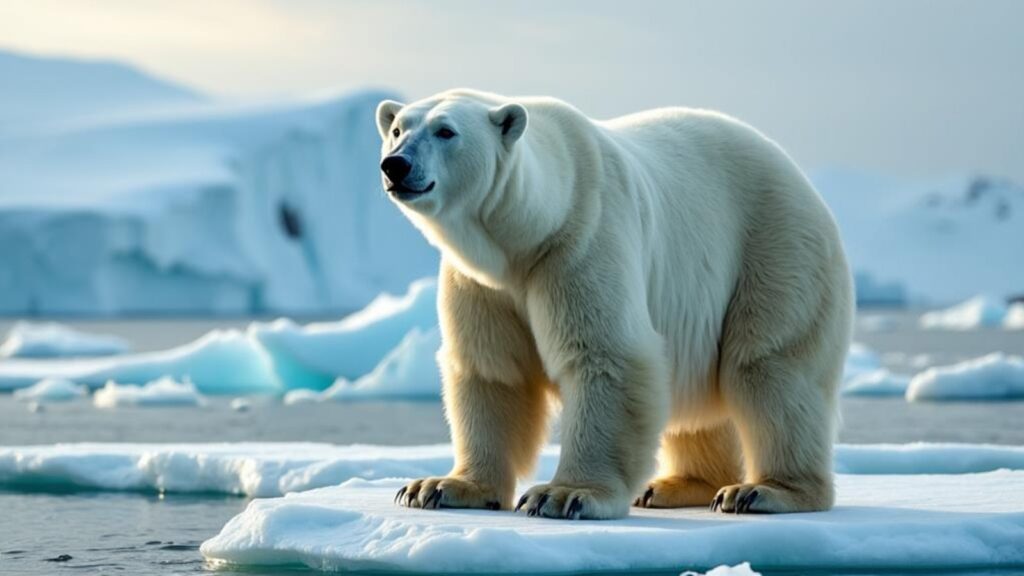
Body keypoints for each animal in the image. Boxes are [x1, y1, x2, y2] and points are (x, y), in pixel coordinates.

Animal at [376, 89, 853, 520]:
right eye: (398, 129)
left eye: (446, 131)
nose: (395, 164)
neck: (526, 235)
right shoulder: (482, 284)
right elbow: (491, 369)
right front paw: (440, 487)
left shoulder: (581, 241)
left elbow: (607, 355)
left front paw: (562, 495)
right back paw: (673, 486)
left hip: (775, 249)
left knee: (770, 368)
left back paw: (762, 491)